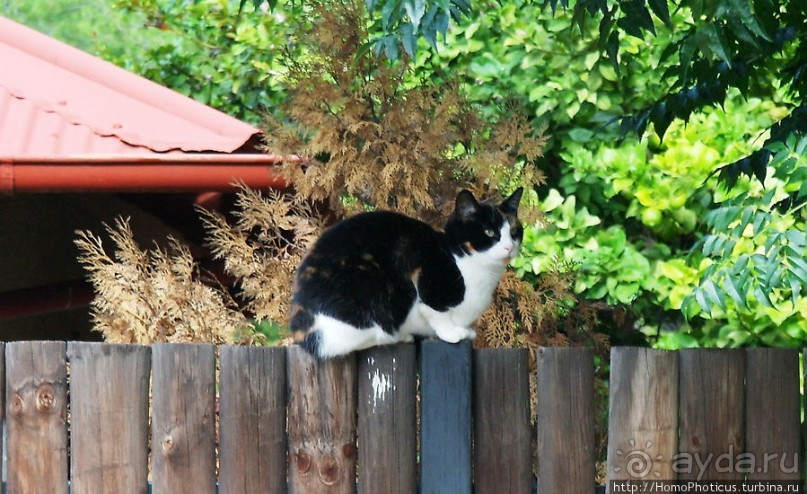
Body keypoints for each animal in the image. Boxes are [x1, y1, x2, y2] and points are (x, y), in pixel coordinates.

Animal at [290, 187, 524, 356]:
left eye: (514, 232)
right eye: (489, 232)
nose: (509, 247)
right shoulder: (426, 273)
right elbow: (435, 311)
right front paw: (451, 332)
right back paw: (398, 337)